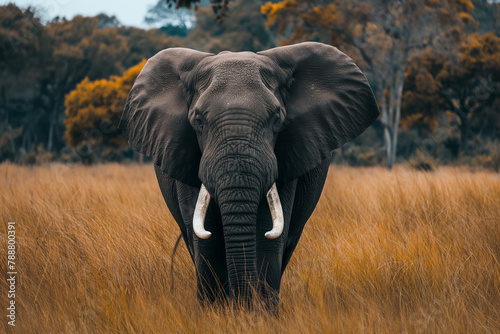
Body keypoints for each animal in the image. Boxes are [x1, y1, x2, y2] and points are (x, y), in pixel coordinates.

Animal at [120, 42, 378, 314]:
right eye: (198, 120)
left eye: (277, 119)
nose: (242, 304)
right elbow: (207, 240)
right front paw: (216, 314)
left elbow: (267, 236)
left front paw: (258, 315)